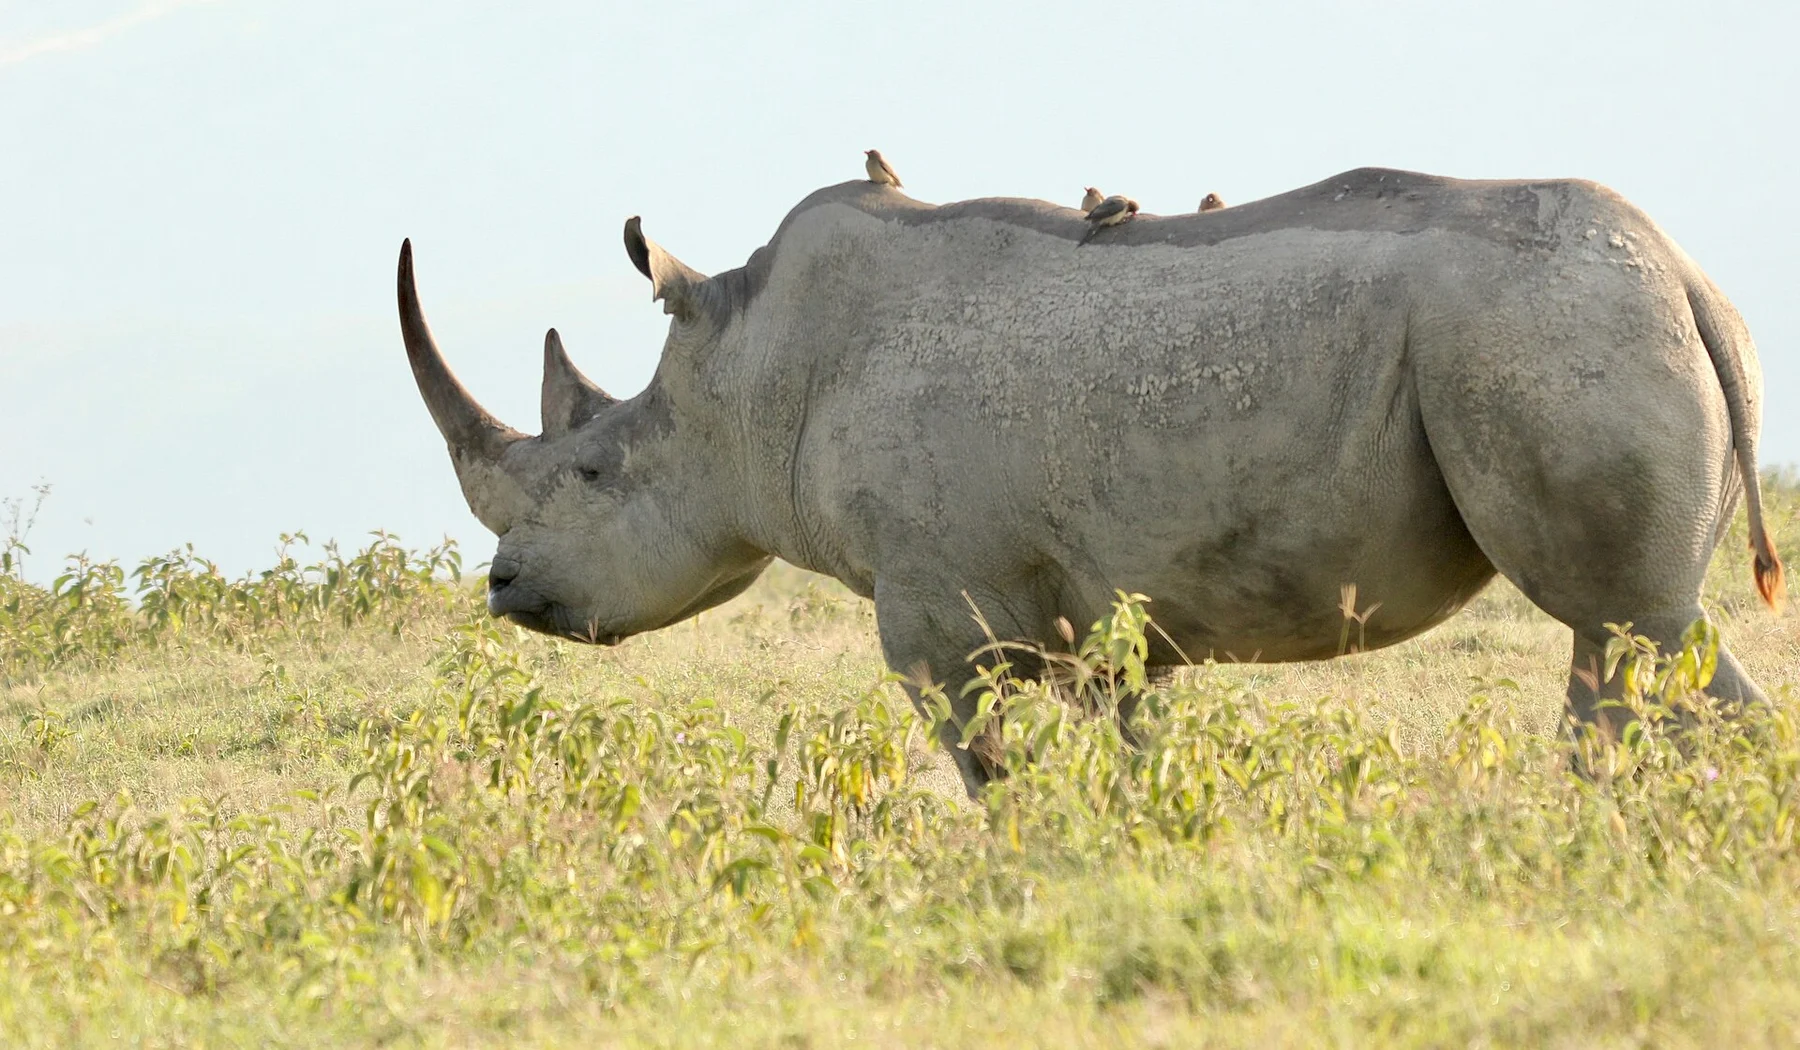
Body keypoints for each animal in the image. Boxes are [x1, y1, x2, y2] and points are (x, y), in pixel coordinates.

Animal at [397, 166, 1785, 796]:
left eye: (590, 469)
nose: (504, 590)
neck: (746, 379)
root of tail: (1685, 273)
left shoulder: (937, 616)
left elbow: (993, 769)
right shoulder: (1105, 610)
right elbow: (1130, 754)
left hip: (1546, 331)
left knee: (1626, 624)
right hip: (1578, 328)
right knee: (1633, 640)